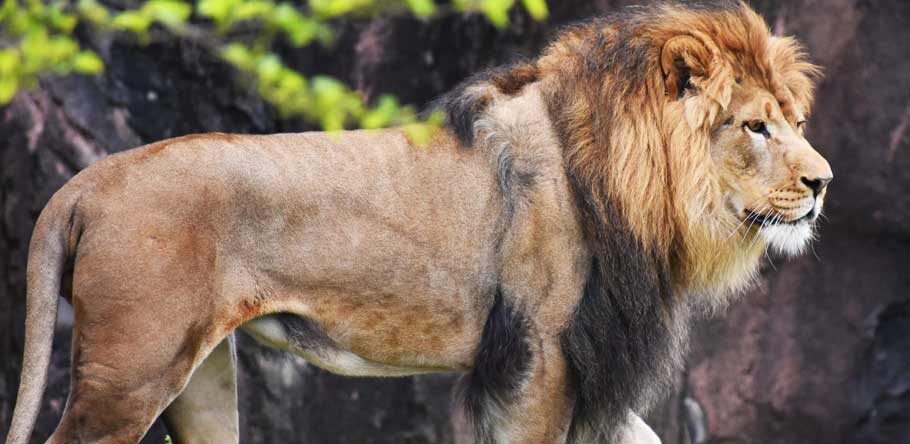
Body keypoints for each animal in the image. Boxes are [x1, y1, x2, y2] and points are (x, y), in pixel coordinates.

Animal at [5, 2, 831, 443]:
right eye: (755, 127)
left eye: (794, 121)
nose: (823, 183)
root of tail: (88, 180)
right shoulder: (541, 357)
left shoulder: (579, 372)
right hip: (128, 373)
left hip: (199, 376)